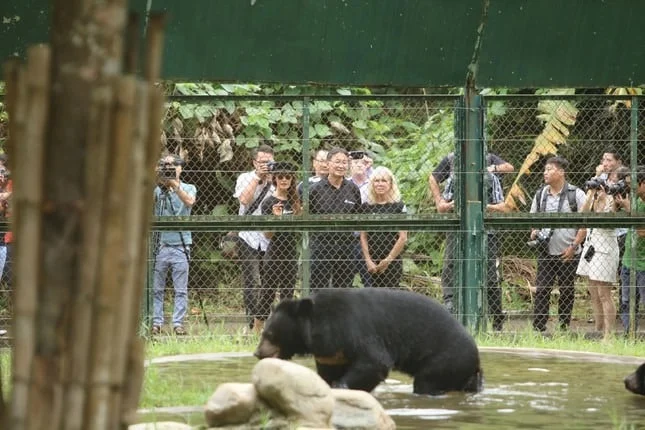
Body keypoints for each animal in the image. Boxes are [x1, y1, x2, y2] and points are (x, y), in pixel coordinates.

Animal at [254, 288, 480, 394]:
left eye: (269, 334)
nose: (257, 353)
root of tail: (476, 358)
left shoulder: (355, 331)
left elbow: (374, 362)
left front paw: (341, 387)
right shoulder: (331, 354)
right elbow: (328, 373)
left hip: (445, 359)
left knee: (426, 381)